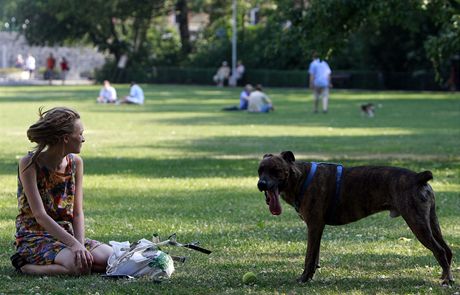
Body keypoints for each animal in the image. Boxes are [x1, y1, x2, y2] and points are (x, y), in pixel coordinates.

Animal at [256, 151, 454, 286]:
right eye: (260, 171)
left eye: (276, 171)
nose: (261, 184)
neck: (300, 178)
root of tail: (418, 177)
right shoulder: (316, 229)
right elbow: (315, 255)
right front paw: (311, 275)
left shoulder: (314, 226)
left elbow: (309, 256)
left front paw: (304, 278)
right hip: (431, 223)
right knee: (447, 250)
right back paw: (447, 277)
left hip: (417, 224)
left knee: (439, 251)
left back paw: (446, 281)